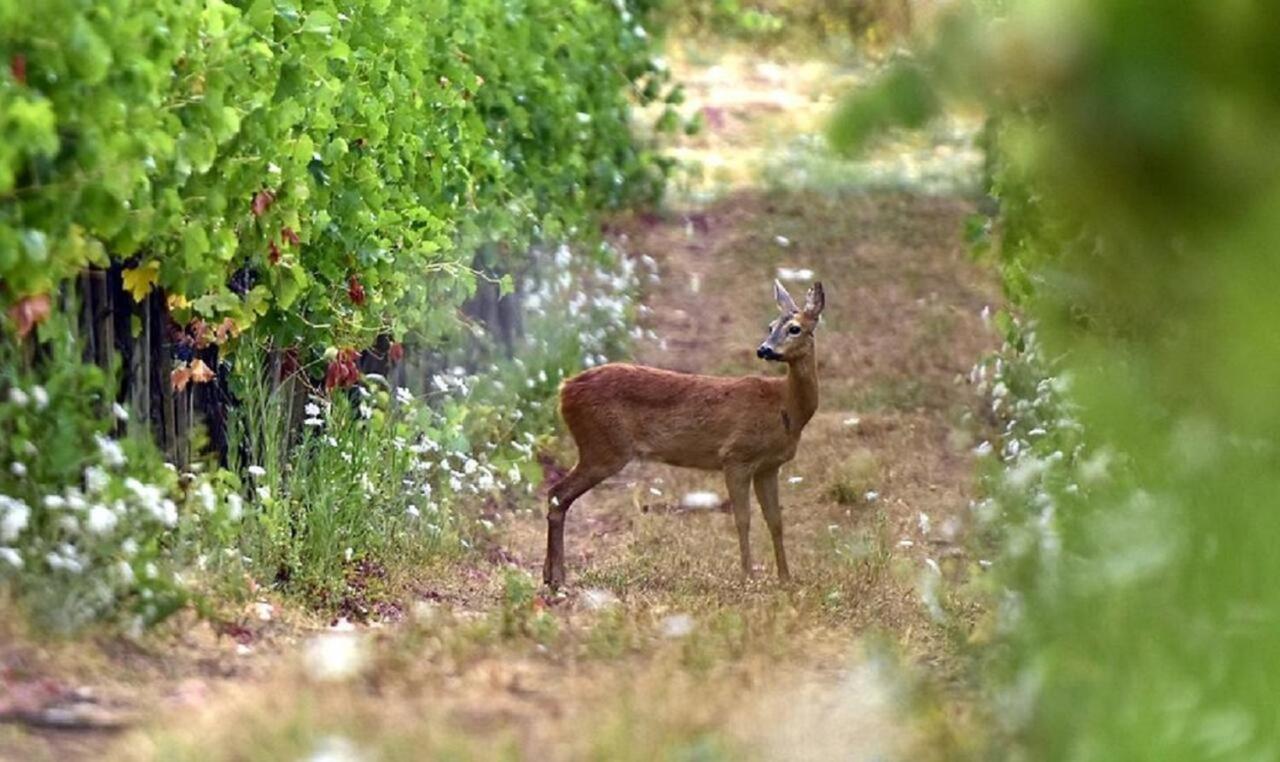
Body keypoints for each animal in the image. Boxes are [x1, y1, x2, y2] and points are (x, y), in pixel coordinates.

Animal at [542, 279, 829, 589]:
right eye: (770, 326)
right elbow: (743, 518)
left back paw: (550, 575)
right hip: (603, 447)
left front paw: (786, 578)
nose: (763, 349)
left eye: (794, 328)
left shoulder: (768, 466)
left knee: (557, 496)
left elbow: (775, 520)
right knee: (557, 493)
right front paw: (748, 577)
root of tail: (564, 389)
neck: (784, 405)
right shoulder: (735, 456)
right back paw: (557, 578)